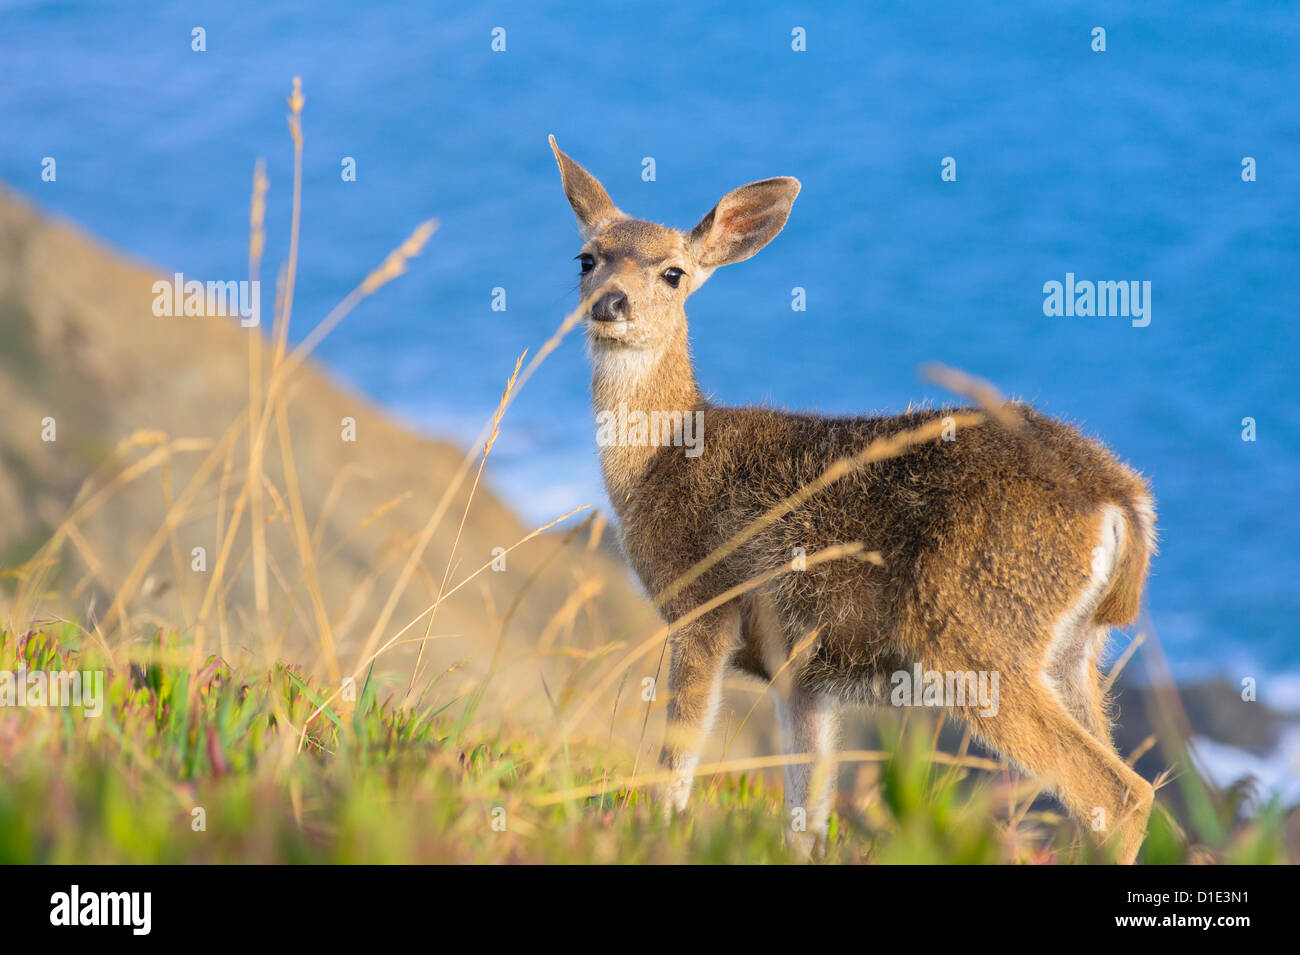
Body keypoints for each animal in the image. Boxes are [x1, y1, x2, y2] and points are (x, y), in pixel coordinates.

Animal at [548, 136, 1159, 867]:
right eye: (586, 259)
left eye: (673, 272)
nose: (609, 303)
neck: (663, 461)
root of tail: (1119, 500)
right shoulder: (803, 673)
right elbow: (806, 808)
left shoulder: (704, 605)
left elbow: (677, 761)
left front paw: (659, 833)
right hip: (1073, 652)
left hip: (972, 631)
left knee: (1117, 792)